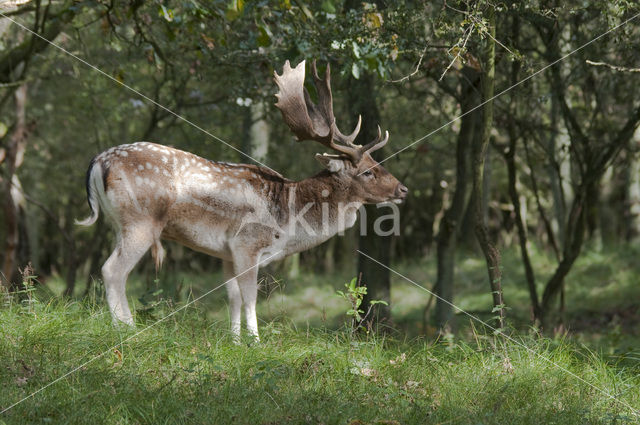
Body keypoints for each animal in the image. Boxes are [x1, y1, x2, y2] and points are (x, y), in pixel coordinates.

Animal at [75, 59, 404, 340]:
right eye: (368, 172)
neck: (289, 217)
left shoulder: (225, 252)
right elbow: (250, 296)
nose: (402, 189)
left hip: (118, 225)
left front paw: (234, 340)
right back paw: (125, 329)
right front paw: (255, 341)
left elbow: (232, 296)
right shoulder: (247, 243)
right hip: (141, 221)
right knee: (112, 270)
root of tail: (98, 162)